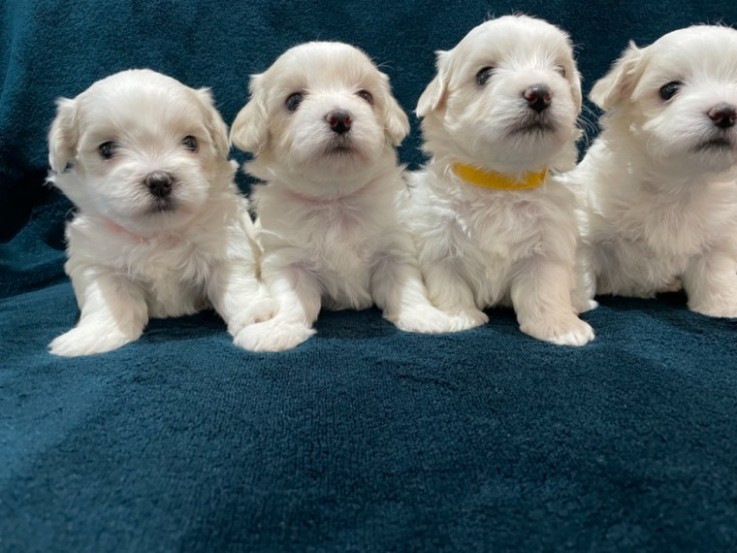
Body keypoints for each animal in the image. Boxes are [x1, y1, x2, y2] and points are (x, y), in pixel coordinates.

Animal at [47, 69, 274, 356]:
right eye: (106, 149)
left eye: (190, 142)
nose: (159, 180)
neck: (159, 232)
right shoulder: (98, 263)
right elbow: (108, 300)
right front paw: (95, 334)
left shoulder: (225, 247)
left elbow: (236, 285)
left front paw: (257, 315)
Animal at [231, 42, 460, 350]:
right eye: (293, 101)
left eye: (365, 96)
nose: (340, 117)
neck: (336, 199)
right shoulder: (287, 261)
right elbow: (292, 300)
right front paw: (277, 330)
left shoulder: (394, 249)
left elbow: (407, 287)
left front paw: (424, 317)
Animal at [406, 15, 596, 344]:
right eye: (483, 75)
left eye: (560, 71)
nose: (540, 92)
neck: (500, 182)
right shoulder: (439, 242)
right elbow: (449, 284)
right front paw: (458, 319)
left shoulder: (547, 247)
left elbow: (545, 291)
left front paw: (561, 327)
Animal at [572, 27, 737, 314]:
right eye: (669, 90)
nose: (726, 112)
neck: (678, 182)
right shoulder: (587, 227)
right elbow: (579, 269)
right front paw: (574, 305)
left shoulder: (717, 239)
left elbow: (716, 272)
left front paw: (721, 307)